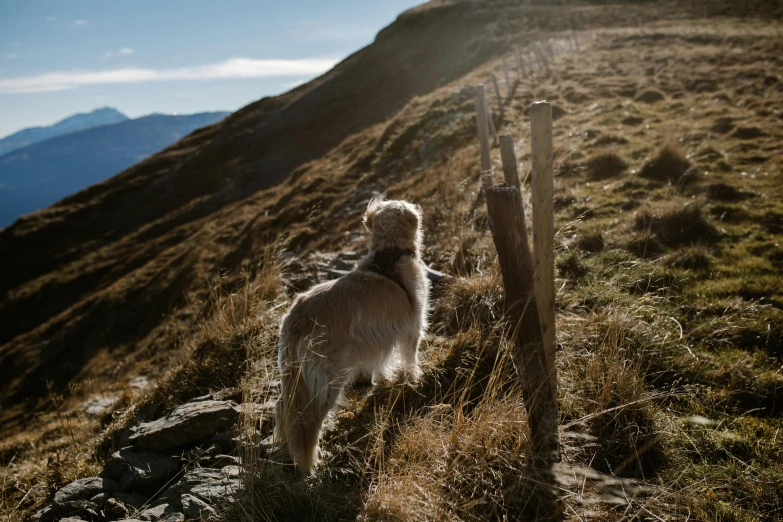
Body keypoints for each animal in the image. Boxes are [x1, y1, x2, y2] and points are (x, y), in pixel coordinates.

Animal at [276, 195, 432, 472]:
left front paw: (383, 379)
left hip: (295, 377)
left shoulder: (379, 339)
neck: (390, 254)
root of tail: (297, 319)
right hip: (328, 380)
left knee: (283, 409)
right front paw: (415, 379)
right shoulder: (412, 328)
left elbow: (381, 363)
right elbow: (410, 359)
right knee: (308, 420)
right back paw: (312, 462)